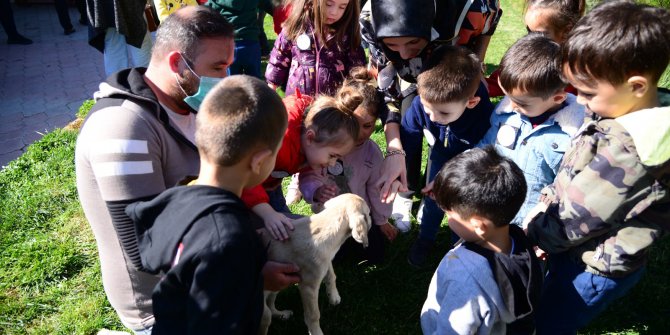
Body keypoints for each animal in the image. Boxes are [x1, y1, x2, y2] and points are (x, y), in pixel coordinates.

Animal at [258, 193, 372, 335]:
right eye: (369, 213)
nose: (372, 221)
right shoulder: (308, 287)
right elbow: (313, 315)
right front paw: (316, 332)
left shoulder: (326, 260)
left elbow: (331, 275)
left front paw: (334, 296)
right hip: (266, 306)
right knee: (267, 315)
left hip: (278, 282)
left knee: (271, 304)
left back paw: (282, 314)